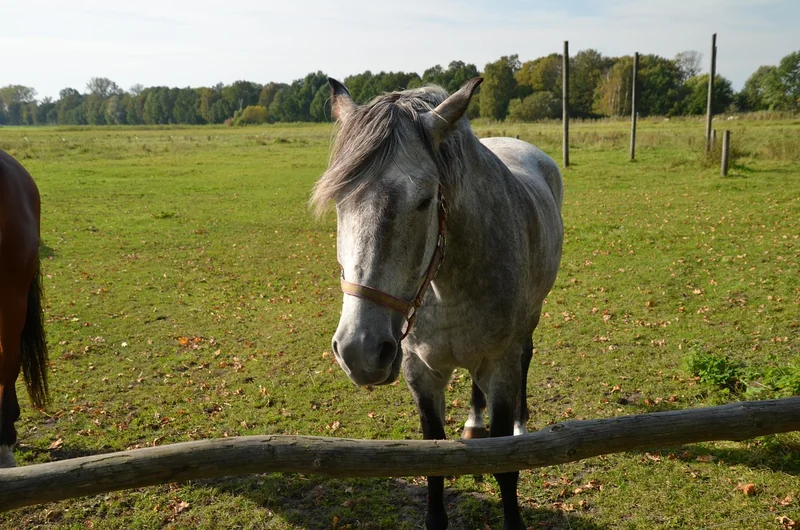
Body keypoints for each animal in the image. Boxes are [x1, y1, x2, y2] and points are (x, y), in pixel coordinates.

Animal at [312, 77, 563, 529]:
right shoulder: (421, 371)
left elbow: (505, 465)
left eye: (425, 200)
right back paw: (473, 423)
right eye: (340, 200)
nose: (359, 351)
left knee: (527, 357)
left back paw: (522, 424)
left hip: (530, 322)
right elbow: (434, 460)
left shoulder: (500, 366)